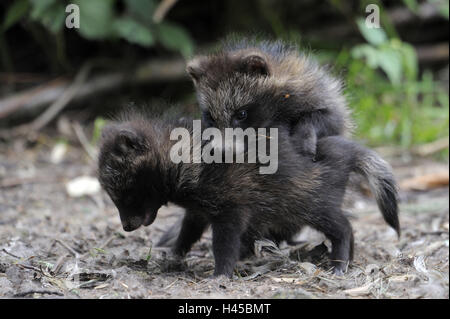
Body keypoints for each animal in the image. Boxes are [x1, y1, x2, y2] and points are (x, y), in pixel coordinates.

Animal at [99, 112, 400, 278]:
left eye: (126, 192)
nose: (127, 226)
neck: (183, 156)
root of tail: (345, 151)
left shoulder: (230, 201)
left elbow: (226, 238)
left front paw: (220, 273)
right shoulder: (200, 204)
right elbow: (190, 227)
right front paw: (175, 253)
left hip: (311, 196)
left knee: (342, 226)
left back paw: (339, 260)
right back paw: (346, 258)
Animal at [185, 37, 352, 159]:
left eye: (241, 114)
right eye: (211, 118)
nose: (223, 152)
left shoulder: (313, 88)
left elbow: (334, 118)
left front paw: (305, 133)